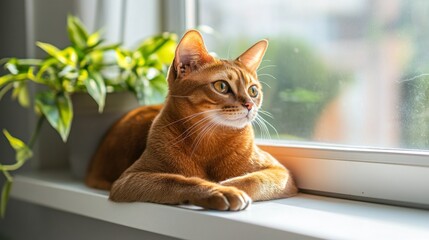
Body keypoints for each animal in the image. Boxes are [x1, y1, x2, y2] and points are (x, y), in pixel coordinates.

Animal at [85, 29, 296, 210]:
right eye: (221, 86)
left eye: (253, 91)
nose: (249, 105)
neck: (210, 142)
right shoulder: (128, 180)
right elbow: (177, 180)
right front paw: (220, 190)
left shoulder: (281, 172)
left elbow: (253, 179)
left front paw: (228, 185)